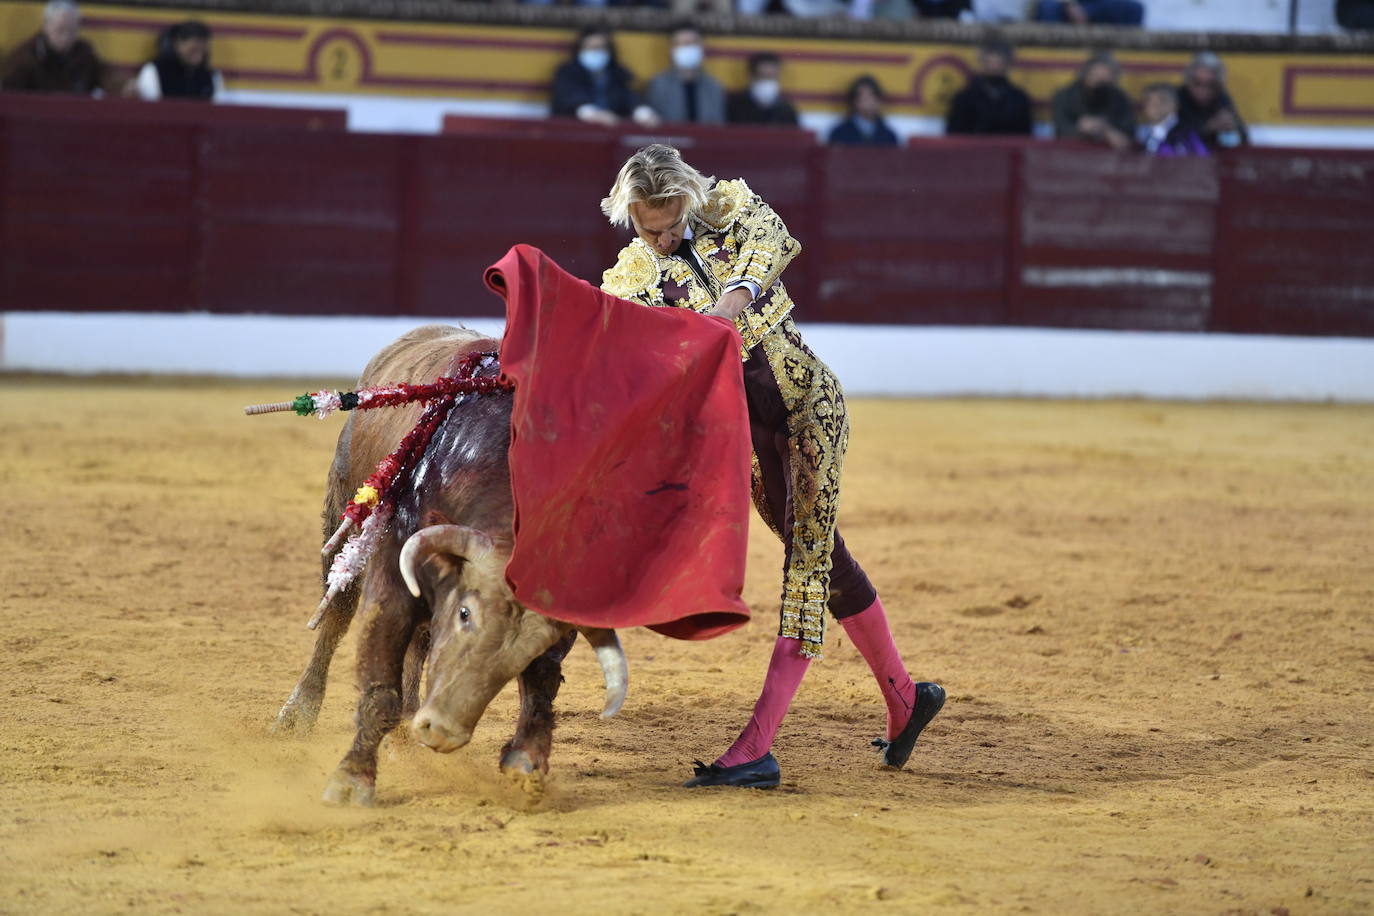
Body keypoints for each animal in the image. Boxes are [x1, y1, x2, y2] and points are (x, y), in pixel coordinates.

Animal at [277, 325, 629, 807]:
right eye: (466, 614)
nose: (443, 731)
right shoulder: (393, 577)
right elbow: (381, 683)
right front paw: (352, 780)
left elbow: (542, 678)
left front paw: (527, 760)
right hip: (343, 518)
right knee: (335, 619)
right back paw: (299, 712)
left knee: (420, 642)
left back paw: (404, 733)